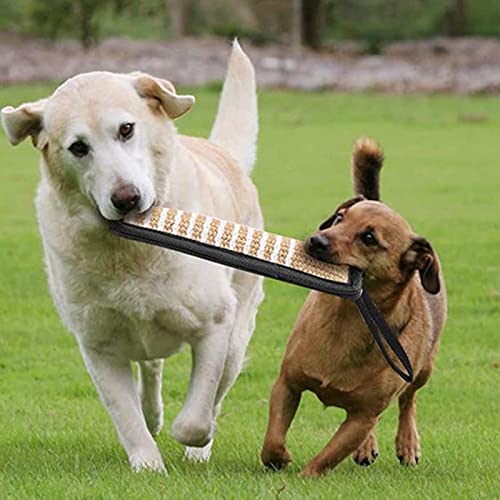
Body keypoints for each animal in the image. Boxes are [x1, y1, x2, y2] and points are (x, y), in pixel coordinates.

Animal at [0, 40, 266, 472]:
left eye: (126, 129)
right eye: (78, 147)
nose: (126, 198)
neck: (130, 251)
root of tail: (221, 153)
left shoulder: (215, 325)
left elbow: (195, 416)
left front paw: (194, 439)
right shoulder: (98, 346)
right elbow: (125, 415)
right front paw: (147, 465)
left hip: (238, 333)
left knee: (216, 389)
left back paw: (198, 449)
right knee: (151, 367)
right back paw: (153, 414)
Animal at [260, 138, 448, 476]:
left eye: (369, 238)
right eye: (339, 219)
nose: (316, 241)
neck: (347, 320)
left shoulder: (364, 416)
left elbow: (327, 457)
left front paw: (304, 476)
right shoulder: (287, 384)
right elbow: (273, 437)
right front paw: (279, 459)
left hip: (423, 369)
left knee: (409, 400)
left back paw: (407, 443)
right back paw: (367, 448)